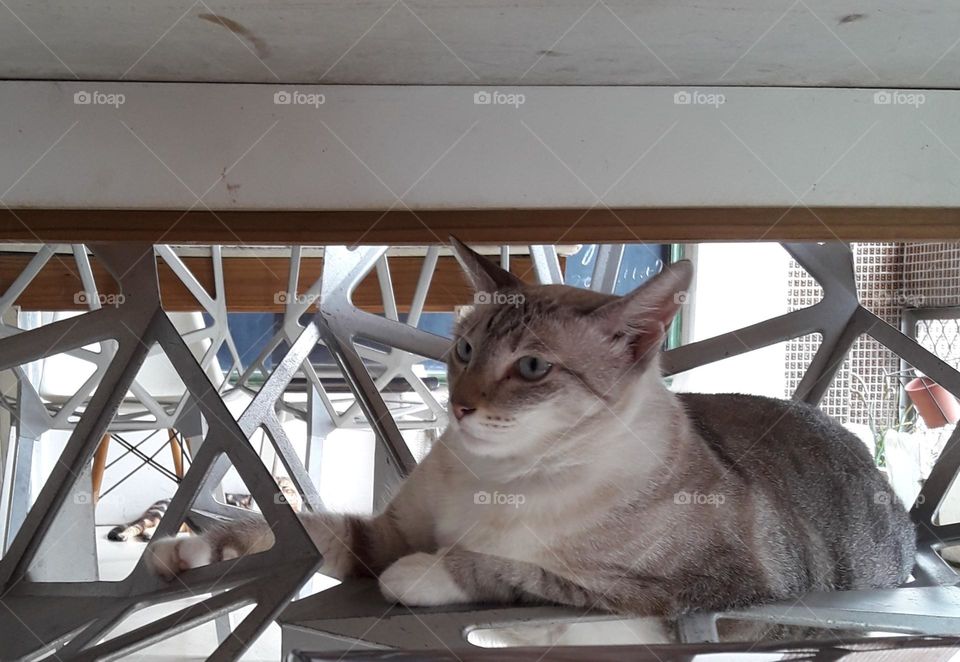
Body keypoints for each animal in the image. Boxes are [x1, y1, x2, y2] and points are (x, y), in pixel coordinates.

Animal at [146, 239, 920, 628]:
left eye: (532, 367)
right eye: (463, 349)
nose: (459, 407)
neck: (495, 479)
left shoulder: (693, 586)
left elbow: (510, 570)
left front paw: (423, 573)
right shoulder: (382, 533)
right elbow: (305, 530)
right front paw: (189, 550)